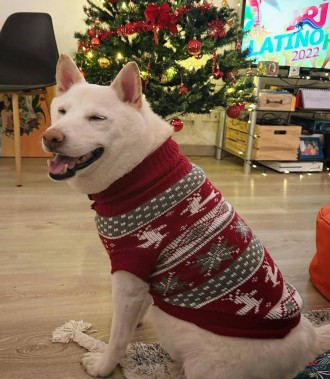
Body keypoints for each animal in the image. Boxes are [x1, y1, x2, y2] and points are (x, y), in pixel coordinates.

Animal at [42, 54, 330, 379]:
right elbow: (138, 310)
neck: (139, 169)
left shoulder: (129, 275)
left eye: (96, 119)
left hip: (188, 345)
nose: (51, 138)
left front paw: (104, 365)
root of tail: (309, 338)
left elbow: (118, 337)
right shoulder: (143, 280)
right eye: (62, 111)